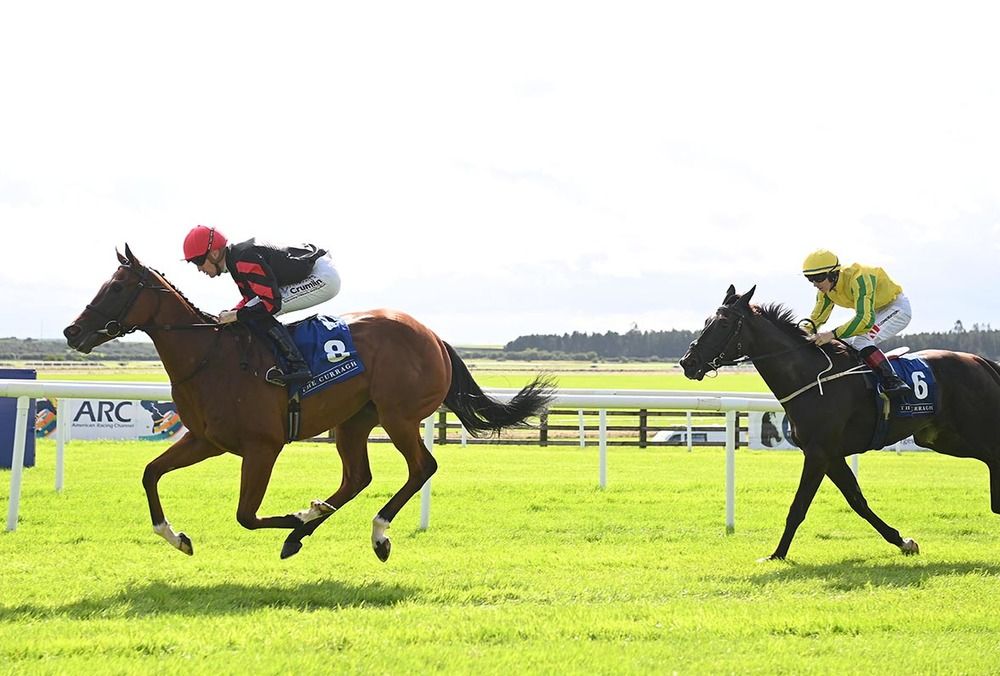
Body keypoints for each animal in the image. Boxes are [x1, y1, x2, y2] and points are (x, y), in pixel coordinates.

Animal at [63, 245, 555, 561]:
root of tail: (433, 336)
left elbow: (246, 515)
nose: (72, 331)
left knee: (421, 468)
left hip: (398, 416)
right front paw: (176, 537)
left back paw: (374, 533)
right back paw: (310, 525)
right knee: (358, 477)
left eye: (117, 288)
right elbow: (150, 473)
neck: (209, 357)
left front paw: (296, 515)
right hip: (355, 421)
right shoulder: (207, 440)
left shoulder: (262, 447)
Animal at [680, 285, 1000, 561]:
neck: (811, 377)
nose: (688, 362)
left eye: (723, 324)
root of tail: (980, 361)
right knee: (990, 458)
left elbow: (798, 506)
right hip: (940, 437)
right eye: (707, 320)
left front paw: (777, 554)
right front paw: (903, 541)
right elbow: (858, 501)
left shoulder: (818, 453)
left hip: (972, 429)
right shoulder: (831, 456)